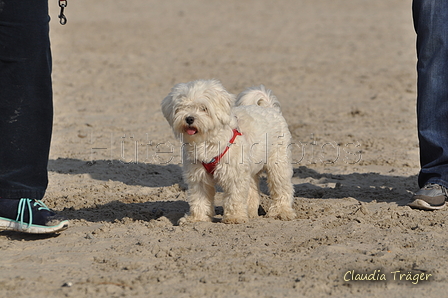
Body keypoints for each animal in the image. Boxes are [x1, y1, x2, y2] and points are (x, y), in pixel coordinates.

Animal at [159, 79, 296, 224]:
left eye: (204, 108)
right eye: (182, 107)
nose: (189, 118)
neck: (207, 142)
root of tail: (270, 108)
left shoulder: (234, 175)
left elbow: (234, 197)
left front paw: (234, 217)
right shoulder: (199, 177)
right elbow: (199, 199)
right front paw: (197, 218)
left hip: (278, 164)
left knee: (282, 187)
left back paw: (282, 212)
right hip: (250, 169)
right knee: (252, 190)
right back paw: (251, 213)